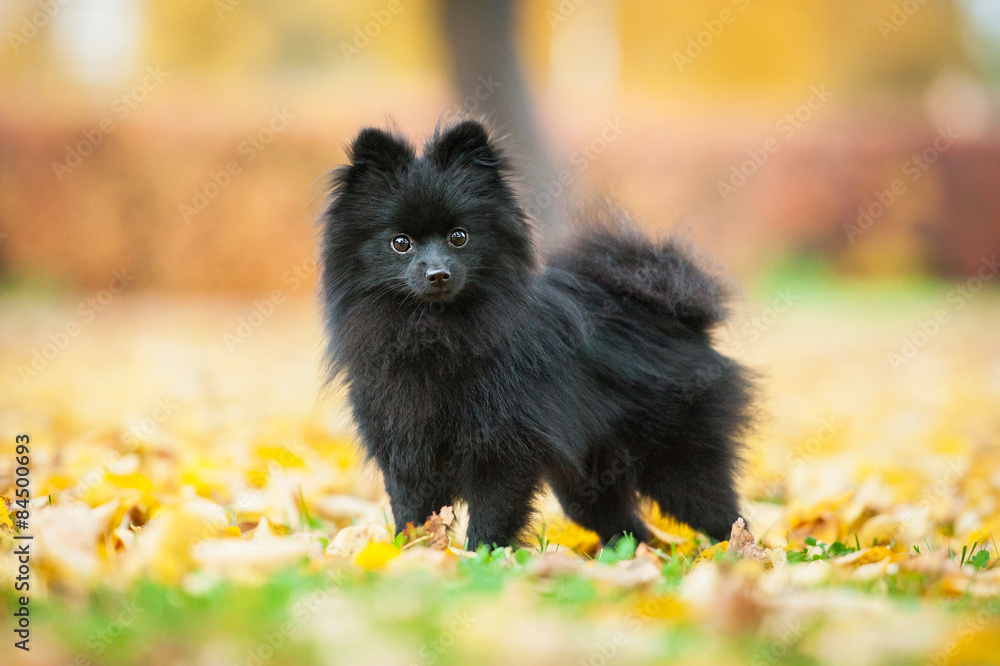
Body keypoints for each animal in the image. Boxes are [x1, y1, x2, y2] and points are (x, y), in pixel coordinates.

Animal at [324, 118, 752, 544]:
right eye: (401, 243)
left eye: (459, 237)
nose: (438, 273)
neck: (435, 331)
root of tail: (679, 316)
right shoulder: (406, 452)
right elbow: (411, 515)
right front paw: (414, 552)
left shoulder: (501, 450)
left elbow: (491, 519)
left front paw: (480, 558)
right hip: (589, 481)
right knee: (626, 528)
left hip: (677, 463)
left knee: (726, 516)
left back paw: (741, 553)